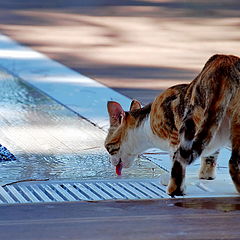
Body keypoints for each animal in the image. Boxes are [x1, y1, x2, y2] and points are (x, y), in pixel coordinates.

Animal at [105, 54, 240, 197]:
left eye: (107, 148)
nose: (111, 162)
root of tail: (225, 61)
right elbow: (211, 156)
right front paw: (206, 175)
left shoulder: (174, 133)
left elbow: (174, 157)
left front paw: (168, 178)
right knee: (234, 161)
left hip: (191, 118)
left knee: (180, 160)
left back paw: (174, 189)